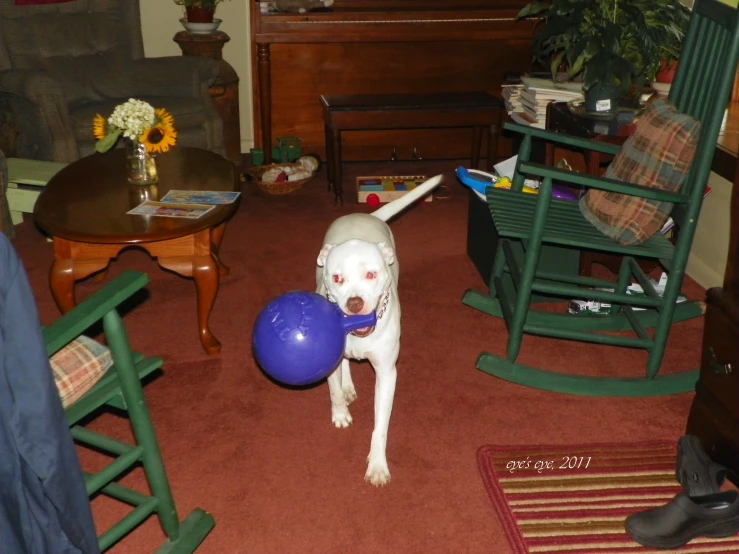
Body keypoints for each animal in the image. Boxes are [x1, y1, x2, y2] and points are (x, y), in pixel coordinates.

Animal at [316, 174, 442, 484]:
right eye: (337, 278)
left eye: (371, 274)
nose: (355, 303)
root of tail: (367, 214)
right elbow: (334, 390)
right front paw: (340, 413)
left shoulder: (386, 374)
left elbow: (380, 427)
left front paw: (377, 464)